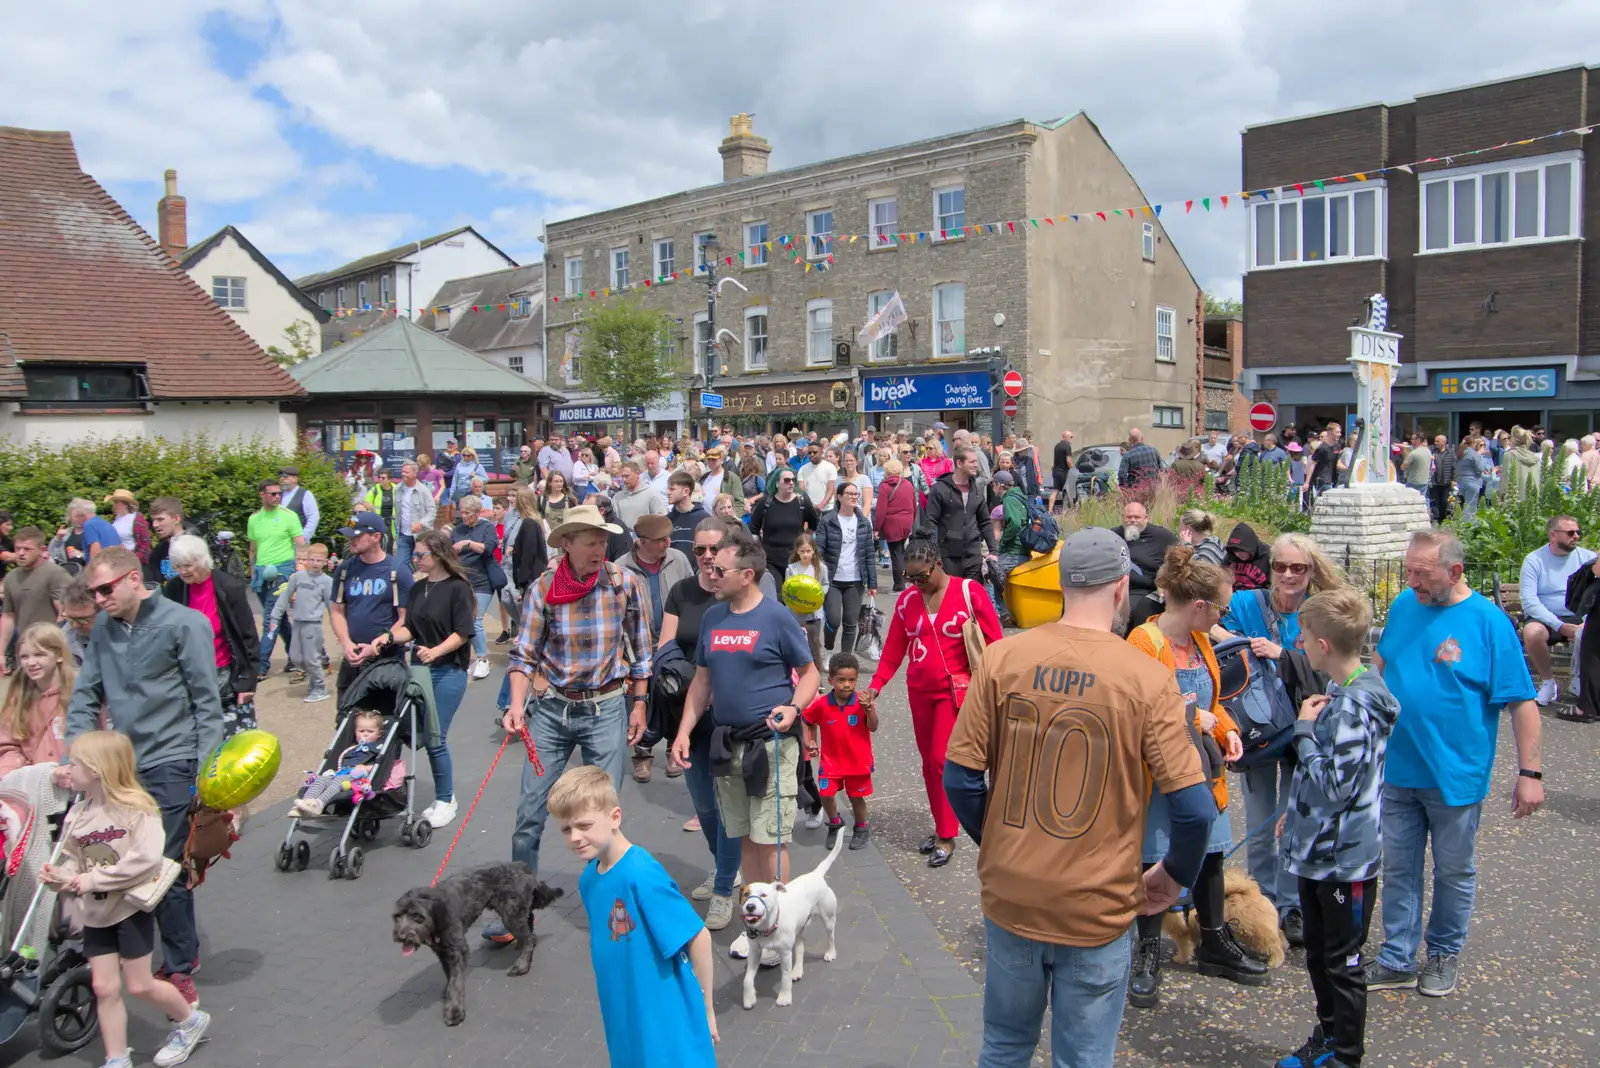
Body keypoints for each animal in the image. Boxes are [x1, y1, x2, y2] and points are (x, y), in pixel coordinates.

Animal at [392, 856, 563, 1023]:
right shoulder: (442, 951)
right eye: (397, 916)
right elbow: (448, 973)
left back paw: (521, 966)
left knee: (530, 938)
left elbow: (456, 980)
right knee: (529, 922)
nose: (401, 936)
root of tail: (522, 866)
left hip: (510, 914)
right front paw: (448, 993)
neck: (437, 912)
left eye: (417, 915)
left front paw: (454, 1011)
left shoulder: (458, 949)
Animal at [736, 824, 844, 1004]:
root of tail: (815, 874)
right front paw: (749, 998)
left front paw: (784, 996)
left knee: (831, 937)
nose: (750, 906)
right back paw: (797, 970)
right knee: (800, 948)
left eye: (764, 895)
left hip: (828, 919)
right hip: (799, 929)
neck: (768, 927)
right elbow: (747, 979)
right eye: (746, 895)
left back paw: (830, 953)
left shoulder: (785, 953)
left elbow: (785, 977)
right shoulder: (755, 952)